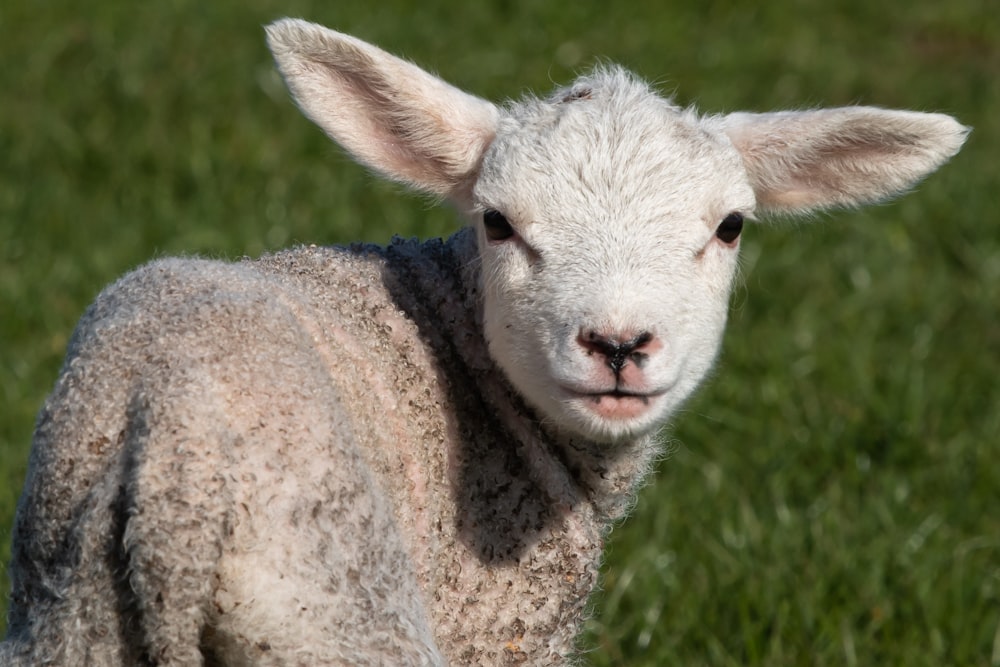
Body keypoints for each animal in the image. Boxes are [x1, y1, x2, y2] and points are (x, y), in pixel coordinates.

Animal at [1, 17, 968, 667]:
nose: (619, 342)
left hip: (71, 617)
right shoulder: (508, 625)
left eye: (730, 227)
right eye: (498, 223)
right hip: (337, 612)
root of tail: (178, 480)